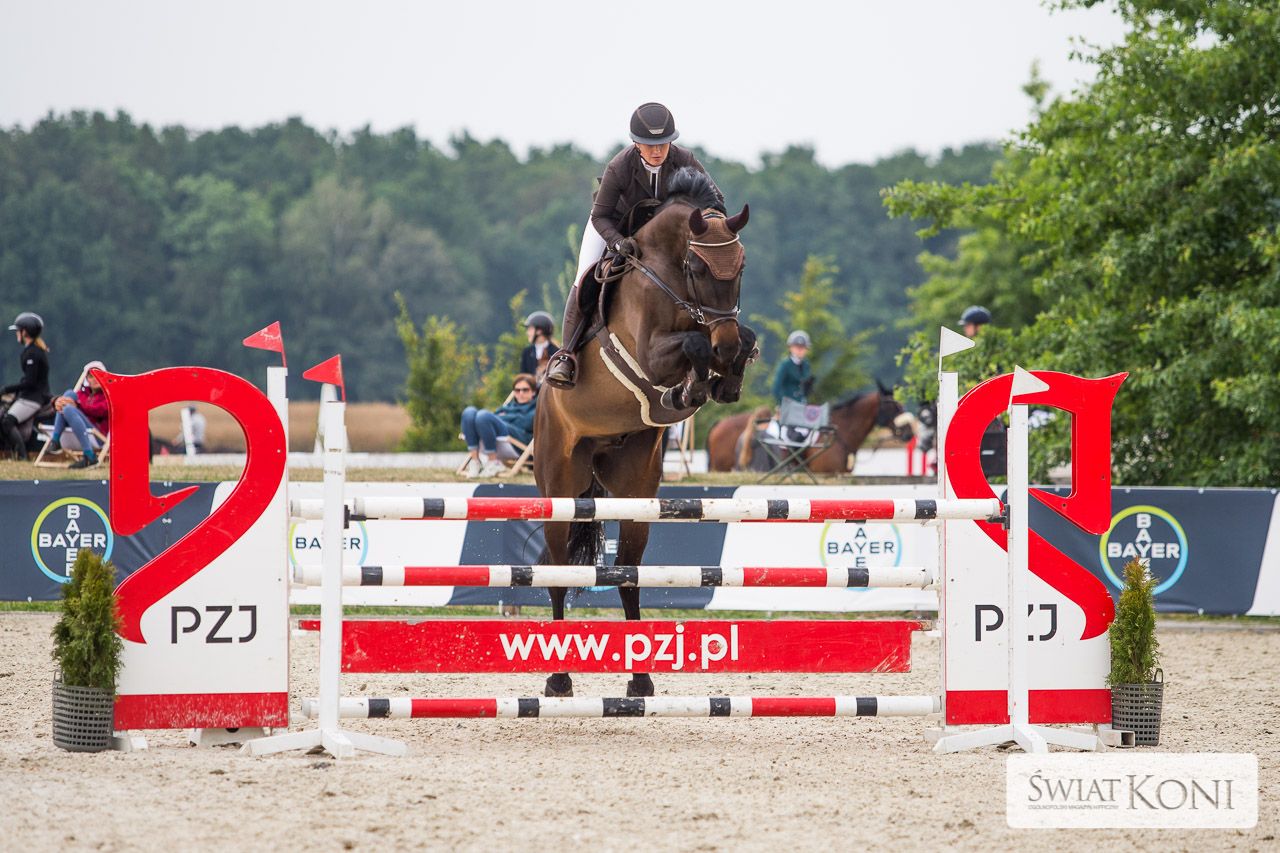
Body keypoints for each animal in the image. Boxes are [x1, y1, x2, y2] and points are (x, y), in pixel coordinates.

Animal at [533, 169, 755, 699]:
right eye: (696, 266)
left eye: (740, 267)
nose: (725, 344)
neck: (669, 276)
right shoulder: (652, 352)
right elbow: (691, 344)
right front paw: (692, 386)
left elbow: (743, 340)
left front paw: (722, 379)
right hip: (560, 487)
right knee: (556, 573)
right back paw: (559, 678)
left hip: (635, 491)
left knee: (629, 575)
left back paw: (640, 680)